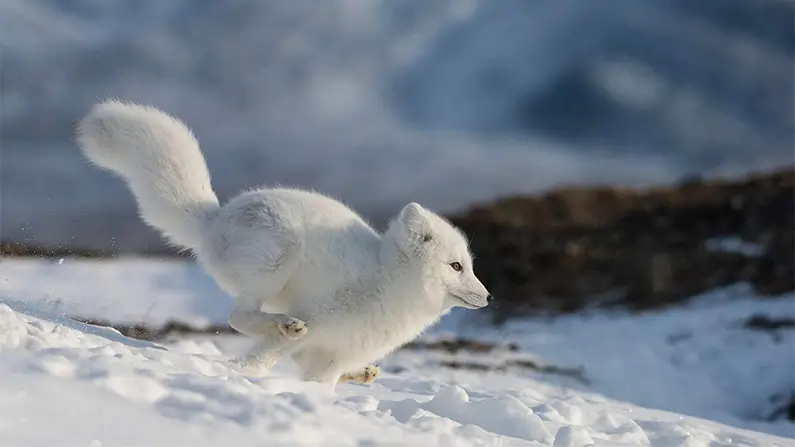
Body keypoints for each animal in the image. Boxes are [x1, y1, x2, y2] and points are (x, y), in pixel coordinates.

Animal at [75, 100, 492, 387]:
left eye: (470, 265)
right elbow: (265, 357)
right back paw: (286, 326)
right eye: (456, 265)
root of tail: (215, 217)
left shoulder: (331, 355)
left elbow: (321, 379)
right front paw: (242, 375)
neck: (388, 283)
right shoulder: (320, 318)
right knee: (239, 316)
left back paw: (361, 373)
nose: (488, 297)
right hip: (279, 255)